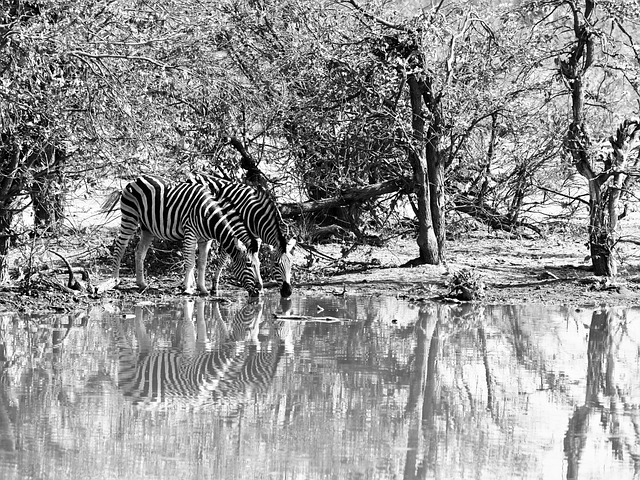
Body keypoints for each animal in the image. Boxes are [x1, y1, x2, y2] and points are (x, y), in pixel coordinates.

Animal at [110, 175, 263, 296]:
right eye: (249, 264)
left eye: (258, 264)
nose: (258, 291)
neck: (208, 217)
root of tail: (135, 180)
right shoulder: (190, 233)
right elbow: (190, 262)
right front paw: (188, 288)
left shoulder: (206, 240)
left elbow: (202, 263)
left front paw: (202, 289)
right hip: (130, 217)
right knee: (119, 246)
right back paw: (115, 280)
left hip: (147, 228)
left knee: (139, 252)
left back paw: (141, 283)